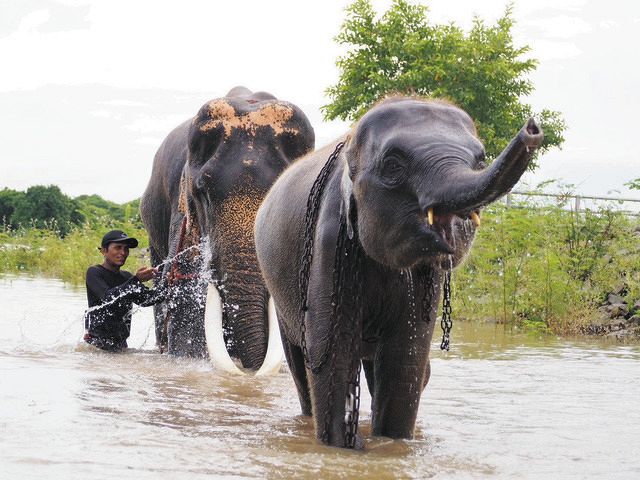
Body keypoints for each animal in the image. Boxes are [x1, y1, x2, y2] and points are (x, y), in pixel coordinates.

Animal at [252, 96, 544, 446]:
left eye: (480, 159)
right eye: (393, 165)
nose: (532, 129)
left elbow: (405, 359)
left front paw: (394, 444)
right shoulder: (331, 239)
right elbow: (332, 356)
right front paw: (342, 449)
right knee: (300, 363)